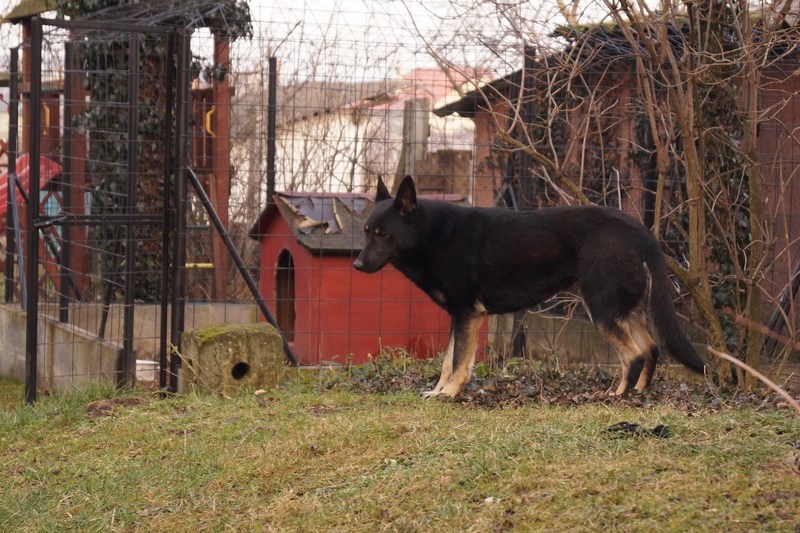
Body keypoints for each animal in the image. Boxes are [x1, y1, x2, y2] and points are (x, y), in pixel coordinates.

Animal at [354, 177, 704, 396]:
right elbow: (448, 360)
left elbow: (458, 363)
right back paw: (639, 393)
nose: (356, 265)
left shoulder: (467, 314)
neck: (432, 234)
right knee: (651, 348)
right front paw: (438, 391)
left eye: (383, 235)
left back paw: (616, 395)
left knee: (633, 354)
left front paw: (450, 394)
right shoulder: (460, 317)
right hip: (623, 309)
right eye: (367, 231)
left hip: (601, 308)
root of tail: (643, 234)